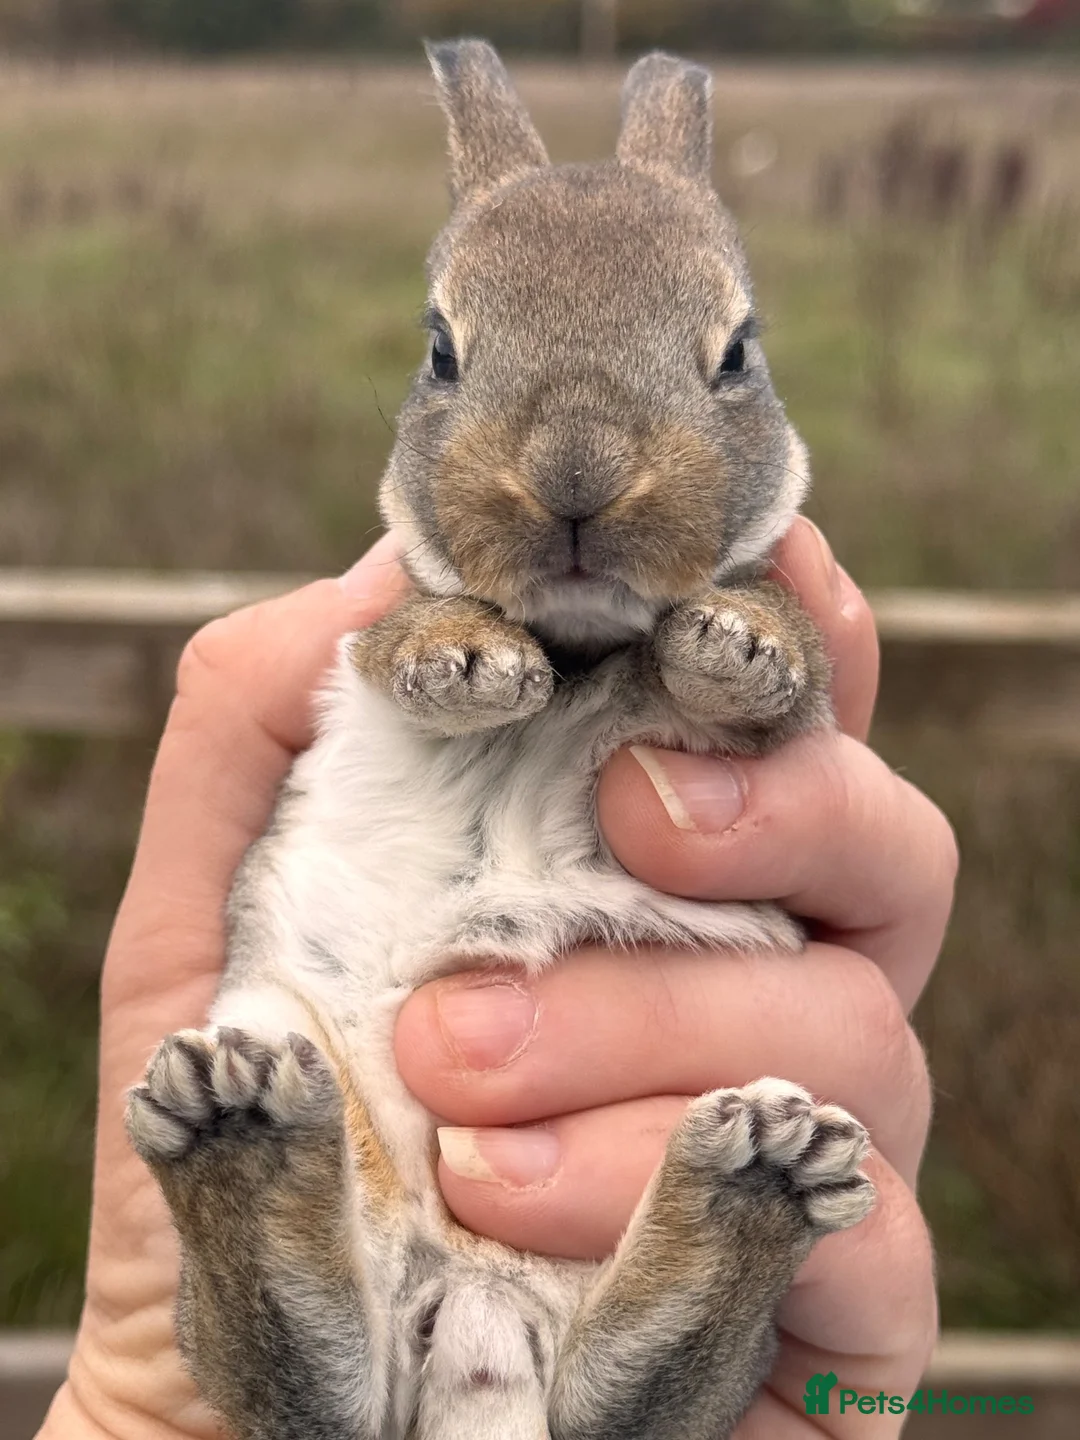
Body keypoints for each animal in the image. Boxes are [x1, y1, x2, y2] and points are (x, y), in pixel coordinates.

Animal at [125, 39, 875, 1440]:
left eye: (737, 352)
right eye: (440, 351)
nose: (577, 479)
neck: (580, 638)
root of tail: (479, 1334)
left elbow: (781, 674)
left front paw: (736, 643)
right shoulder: (361, 637)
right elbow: (398, 645)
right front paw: (474, 664)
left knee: (616, 1394)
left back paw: (763, 1184)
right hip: (289, 1081)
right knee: (311, 1372)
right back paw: (233, 1128)